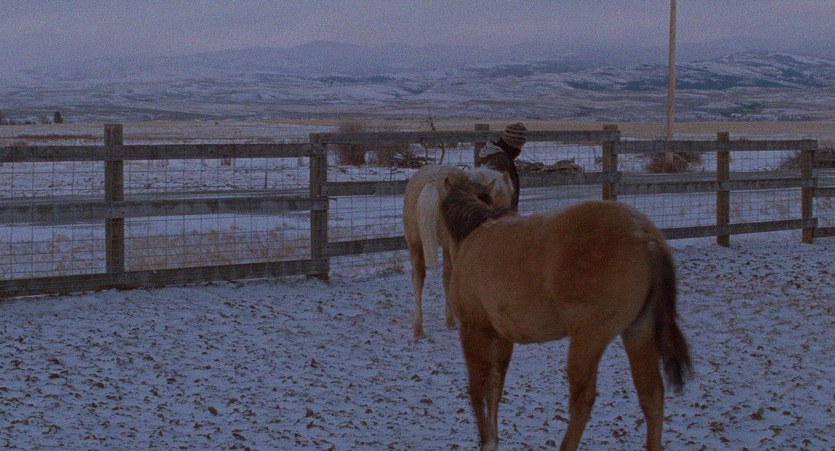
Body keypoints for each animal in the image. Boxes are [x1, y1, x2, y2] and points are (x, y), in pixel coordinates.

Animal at [440, 175, 691, 451]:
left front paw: (486, 440)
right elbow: (495, 388)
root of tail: (644, 234)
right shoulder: (502, 337)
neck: (475, 235)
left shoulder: (473, 329)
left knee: (583, 400)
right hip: (638, 331)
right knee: (651, 395)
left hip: (589, 338)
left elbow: (477, 388)